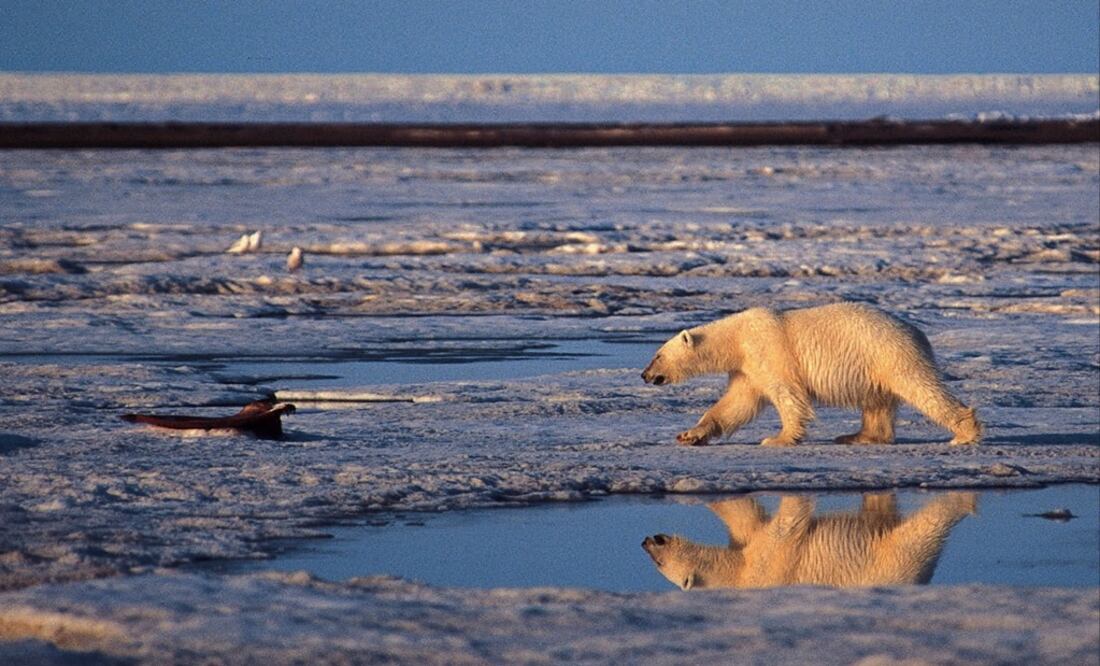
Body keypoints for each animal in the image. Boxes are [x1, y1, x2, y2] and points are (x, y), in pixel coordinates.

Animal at [640, 302, 982, 447]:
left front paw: (777, 439)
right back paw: (858, 436)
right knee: (877, 402)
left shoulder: (769, 350)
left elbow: (787, 395)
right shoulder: (747, 368)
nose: (645, 375)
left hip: (889, 353)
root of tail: (917, 332)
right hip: (875, 365)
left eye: (657, 355)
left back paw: (964, 433)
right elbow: (736, 403)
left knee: (921, 387)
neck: (736, 337)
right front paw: (690, 434)